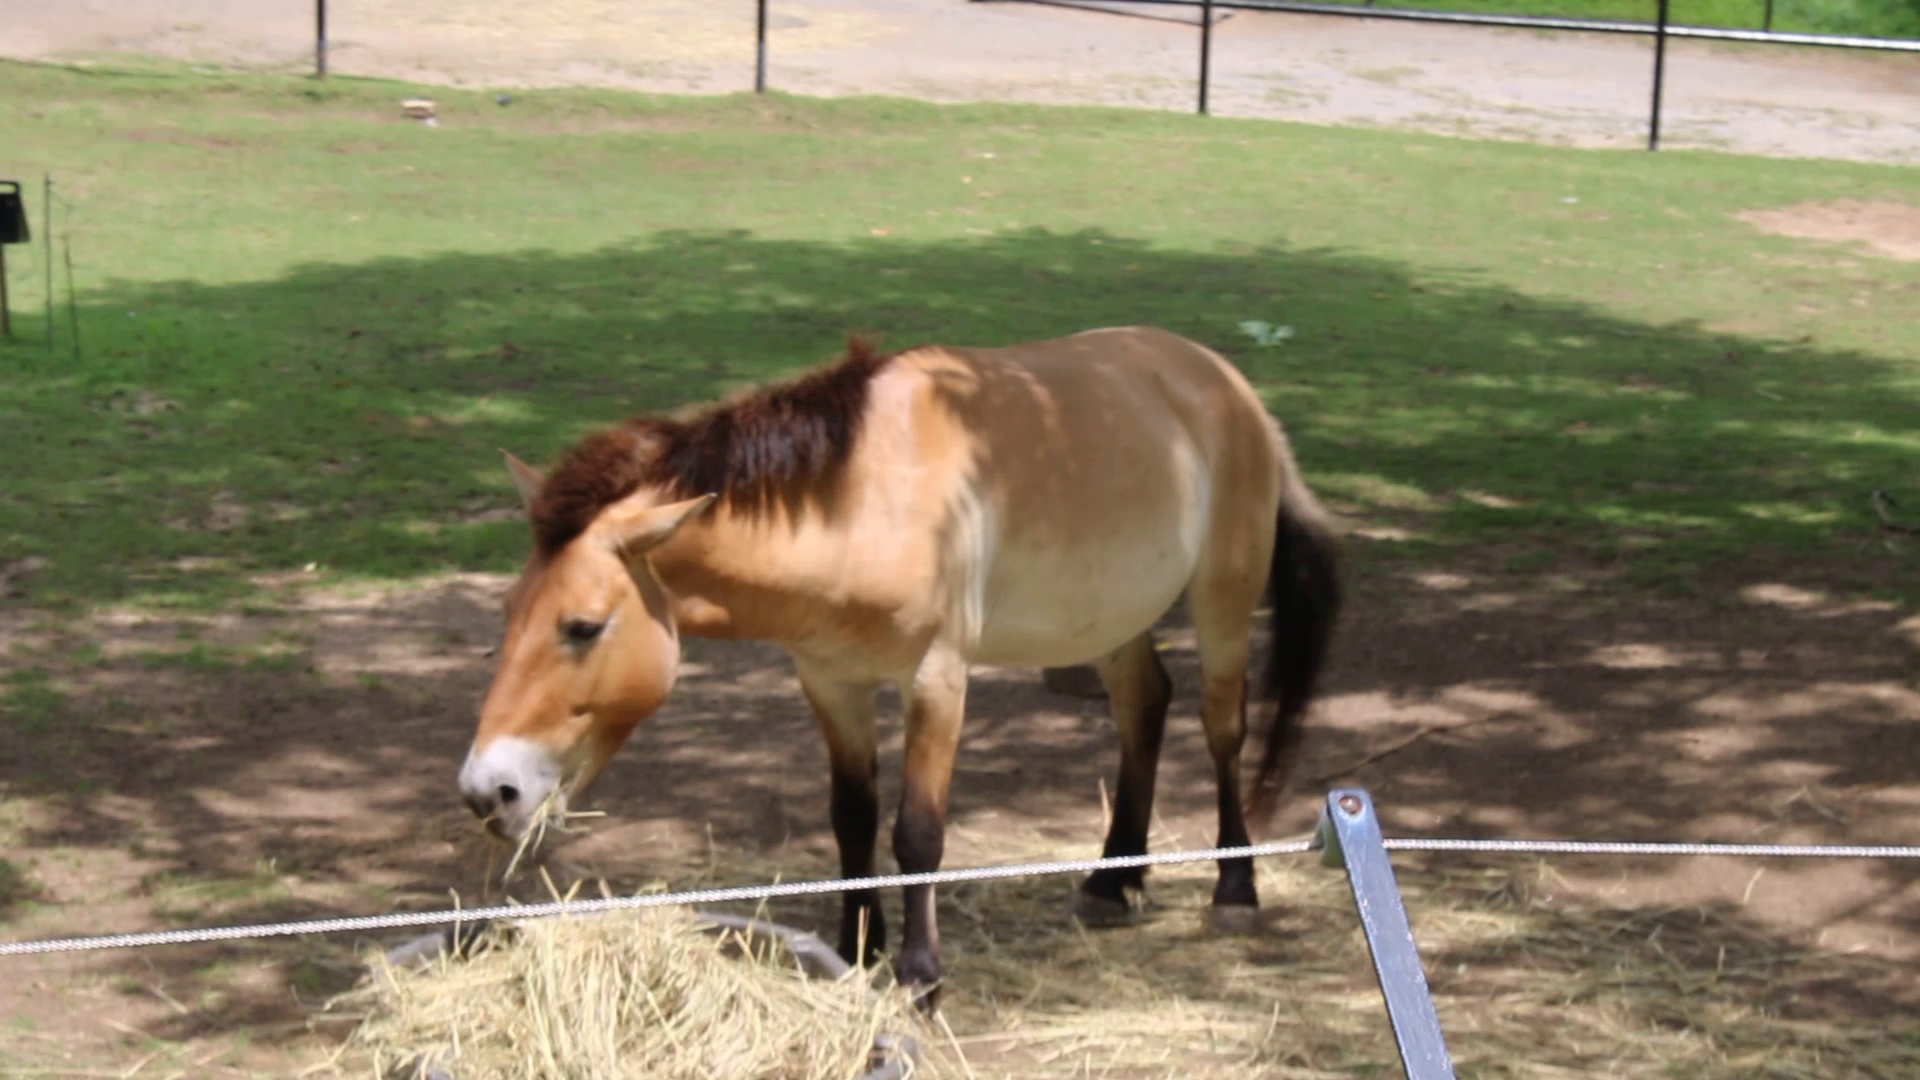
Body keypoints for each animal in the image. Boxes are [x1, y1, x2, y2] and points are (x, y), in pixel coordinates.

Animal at [458, 325, 1342, 1009]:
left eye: (582, 626)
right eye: (509, 613)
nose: (486, 792)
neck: (859, 500)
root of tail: (1223, 382)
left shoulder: (936, 679)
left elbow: (917, 830)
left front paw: (920, 974)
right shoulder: (830, 681)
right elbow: (852, 817)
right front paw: (856, 947)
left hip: (1224, 600)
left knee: (1222, 728)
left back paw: (1235, 888)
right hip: (1111, 618)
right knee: (1145, 709)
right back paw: (1110, 879)